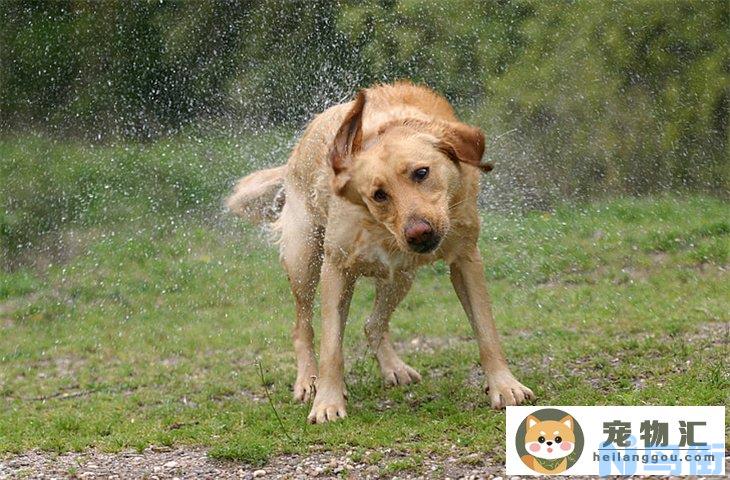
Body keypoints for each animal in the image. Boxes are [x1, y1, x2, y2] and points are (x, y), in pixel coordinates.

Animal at [225, 81, 532, 424]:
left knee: (373, 323)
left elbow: (486, 329)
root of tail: (295, 154)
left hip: (400, 276)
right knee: (302, 326)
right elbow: (331, 346)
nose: (419, 233)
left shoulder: (466, 259)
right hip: (304, 260)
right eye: (379, 194)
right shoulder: (337, 268)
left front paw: (504, 385)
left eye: (421, 173)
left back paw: (394, 368)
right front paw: (327, 401)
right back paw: (307, 380)